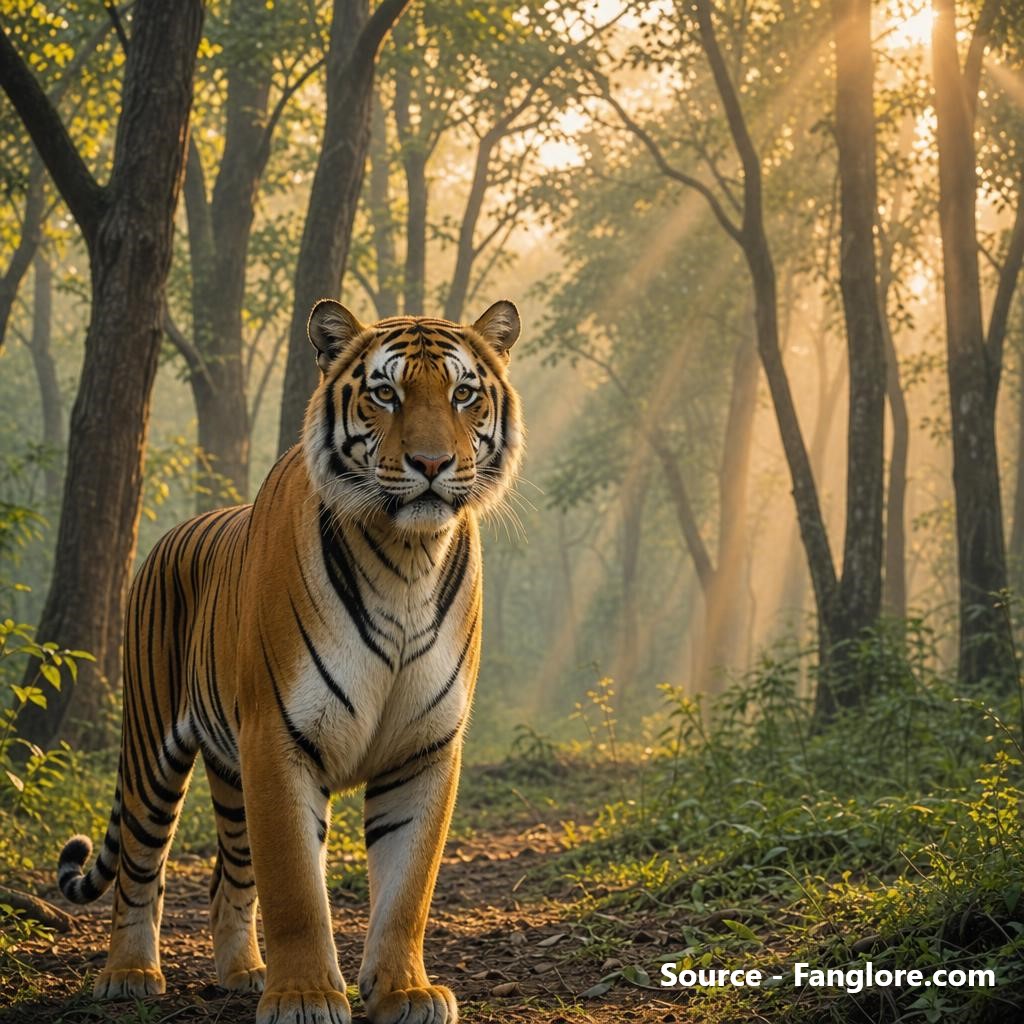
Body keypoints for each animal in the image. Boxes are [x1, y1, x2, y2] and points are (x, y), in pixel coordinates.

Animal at [55, 299, 524, 1024]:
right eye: (385, 394)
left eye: (463, 394)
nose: (431, 462)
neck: (407, 561)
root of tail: (168, 536)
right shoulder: (278, 737)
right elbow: (296, 888)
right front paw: (305, 995)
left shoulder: (425, 748)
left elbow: (407, 889)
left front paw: (405, 992)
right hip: (151, 748)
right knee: (140, 865)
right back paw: (129, 974)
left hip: (228, 768)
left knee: (226, 878)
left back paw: (243, 972)